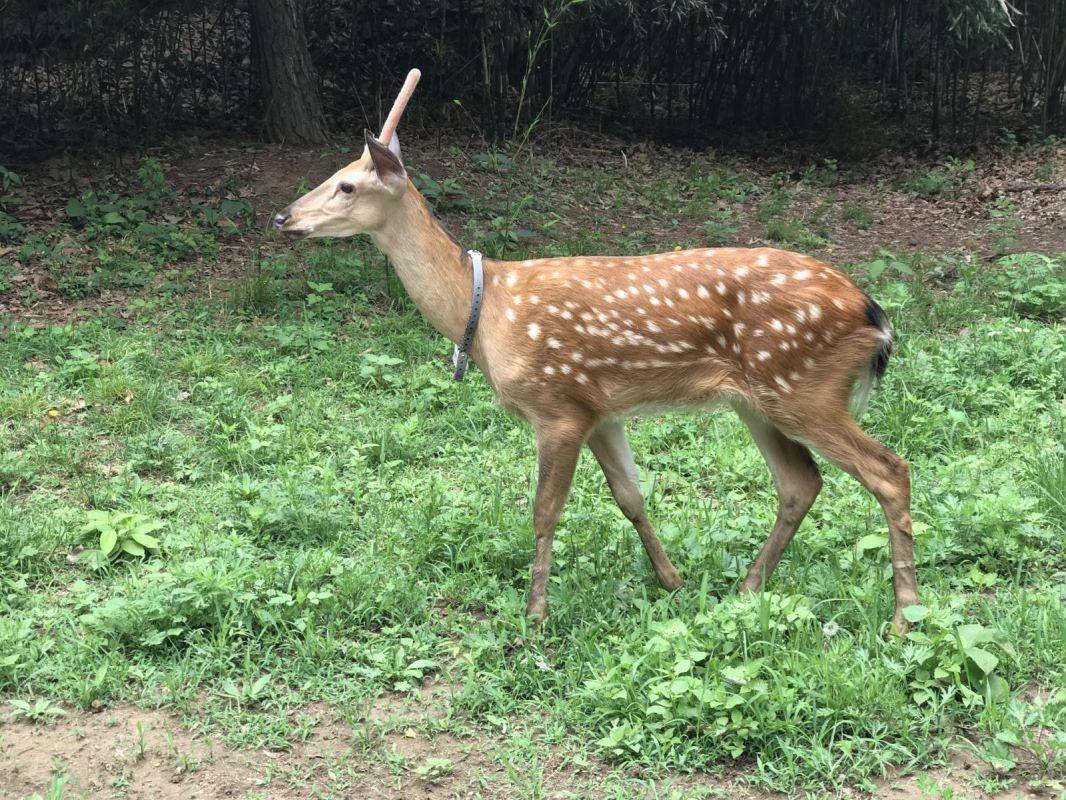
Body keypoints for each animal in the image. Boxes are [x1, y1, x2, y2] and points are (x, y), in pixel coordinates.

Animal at [272, 67, 916, 631]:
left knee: (889, 469)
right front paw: (671, 581)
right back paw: (747, 588)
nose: (283, 217)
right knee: (801, 484)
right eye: (334, 173)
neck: (486, 312)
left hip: (805, 386)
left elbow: (544, 510)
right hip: (758, 400)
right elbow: (631, 497)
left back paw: (904, 617)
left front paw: (535, 615)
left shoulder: (558, 404)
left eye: (347, 184)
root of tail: (873, 314)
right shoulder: (601, 409)